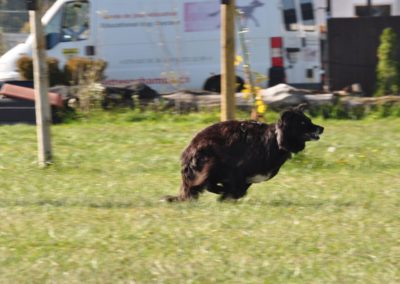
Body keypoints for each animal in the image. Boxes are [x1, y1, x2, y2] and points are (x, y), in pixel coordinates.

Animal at [164, 105, 324, 202]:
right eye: (303, 123)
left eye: (309, 120)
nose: (322, 128)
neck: (276, 139)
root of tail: (189, 151)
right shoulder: (236, 170)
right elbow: (236, 188)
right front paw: (226, 196)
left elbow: (240, 189)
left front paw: (227, 196)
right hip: (211, 160)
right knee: (202, 184)